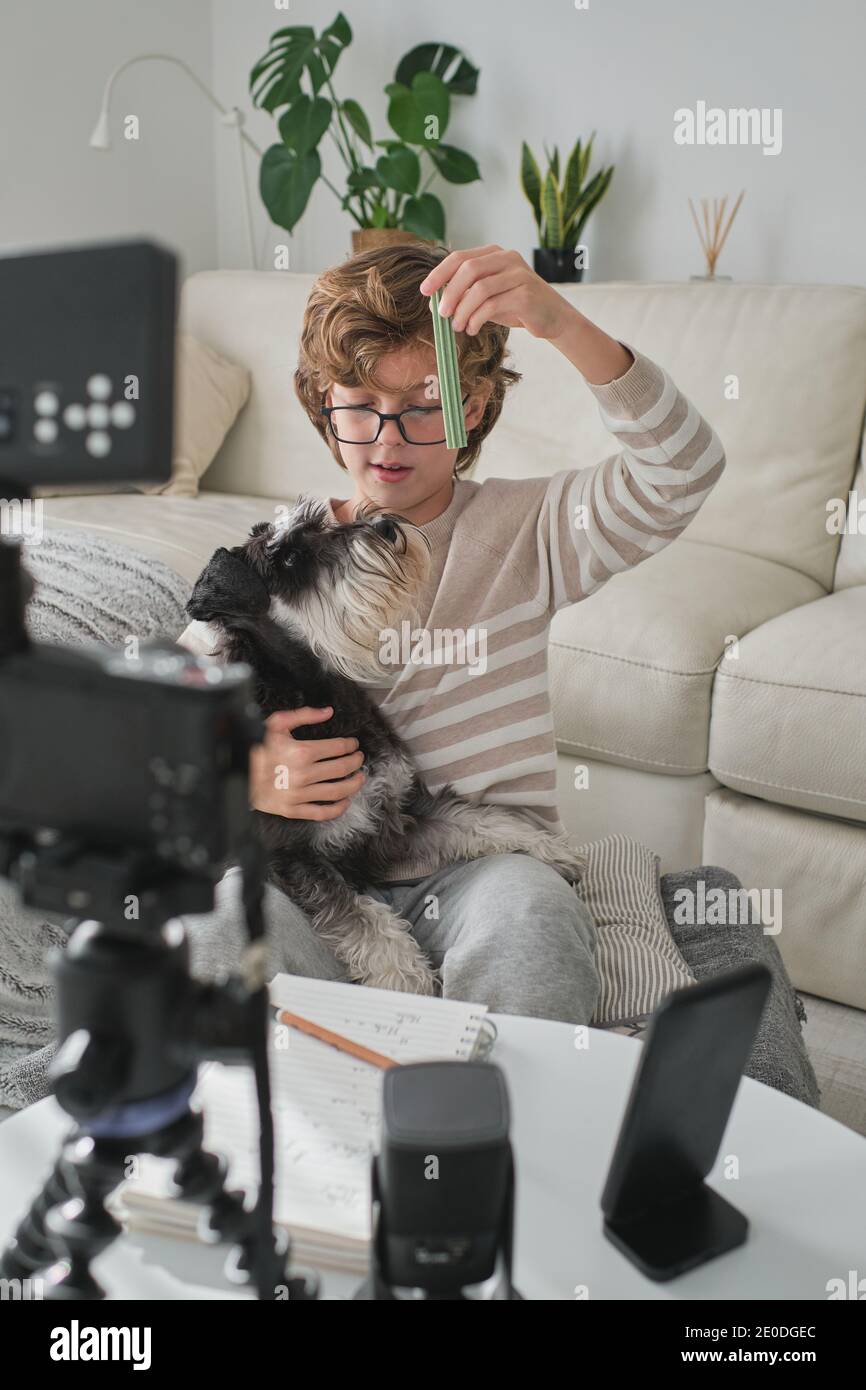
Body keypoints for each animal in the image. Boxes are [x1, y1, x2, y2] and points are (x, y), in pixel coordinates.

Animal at [184, 500, 586, 1000]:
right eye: (289, 560)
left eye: (321, 523)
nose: (384, 525)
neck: (312, 691)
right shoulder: (293, 857)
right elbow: (364, 920)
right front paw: (409, 983)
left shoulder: (400, 812)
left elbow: (478, 820)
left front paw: (552, 849)